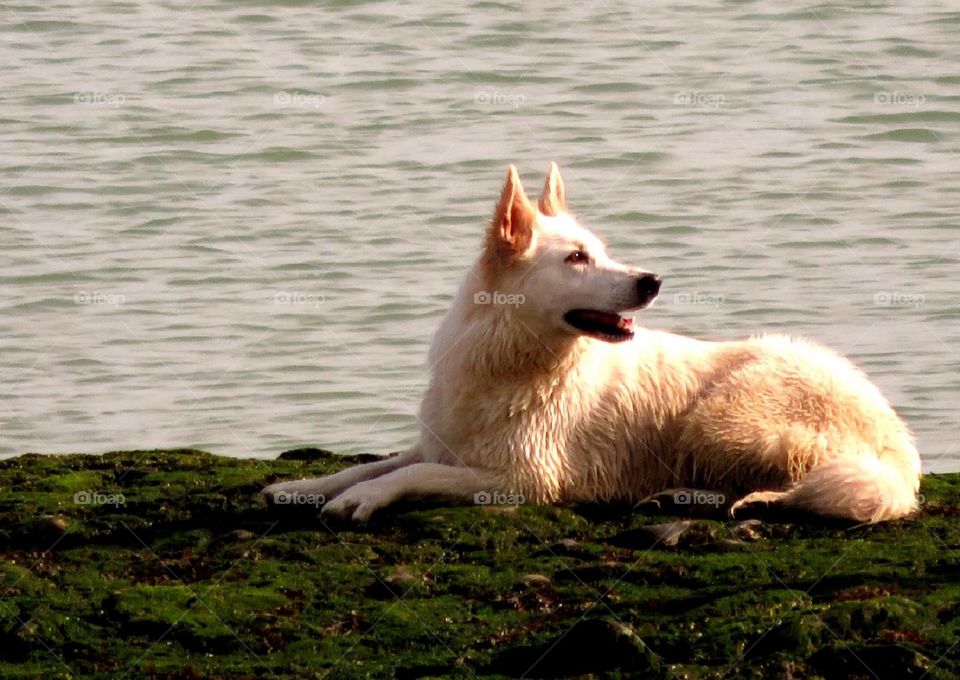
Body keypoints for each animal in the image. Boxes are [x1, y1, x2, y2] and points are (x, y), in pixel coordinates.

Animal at [264, 162, 924, 524]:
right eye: (578, 258)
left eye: (599, 252)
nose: (652, 280)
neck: (512, 362)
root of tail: (898, 438)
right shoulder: (441, 443)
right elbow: (370, 464)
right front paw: (301, 488)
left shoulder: (523, 479)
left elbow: (408, 475)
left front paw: (367, 497)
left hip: (726, 414)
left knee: (793, 480)